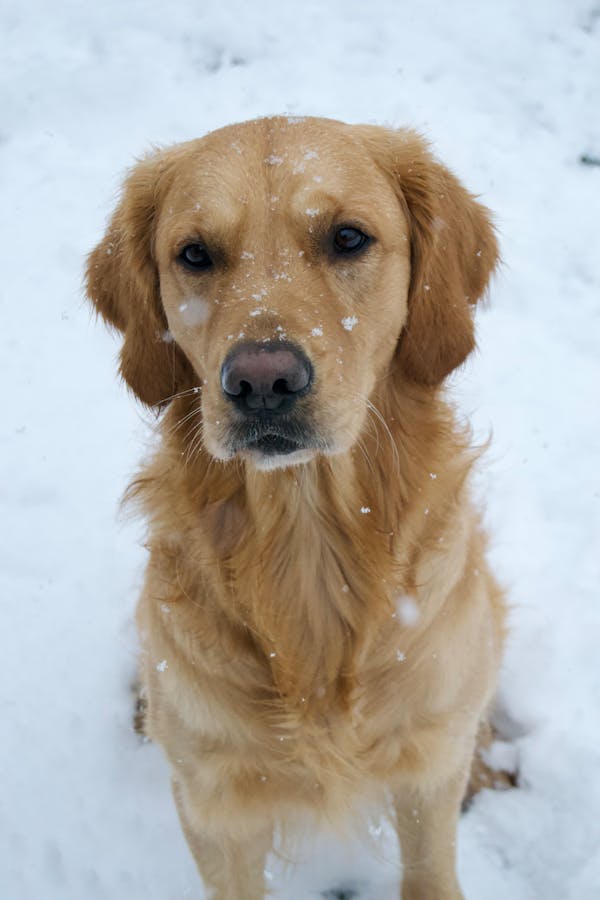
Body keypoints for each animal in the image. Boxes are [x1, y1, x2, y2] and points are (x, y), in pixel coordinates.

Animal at [85, 116, 506, 896]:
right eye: (195, 253)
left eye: (347, 238)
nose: (262, 382)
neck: (309, 547)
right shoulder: (214, 805)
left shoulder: (427, 772)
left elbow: (431, 866)